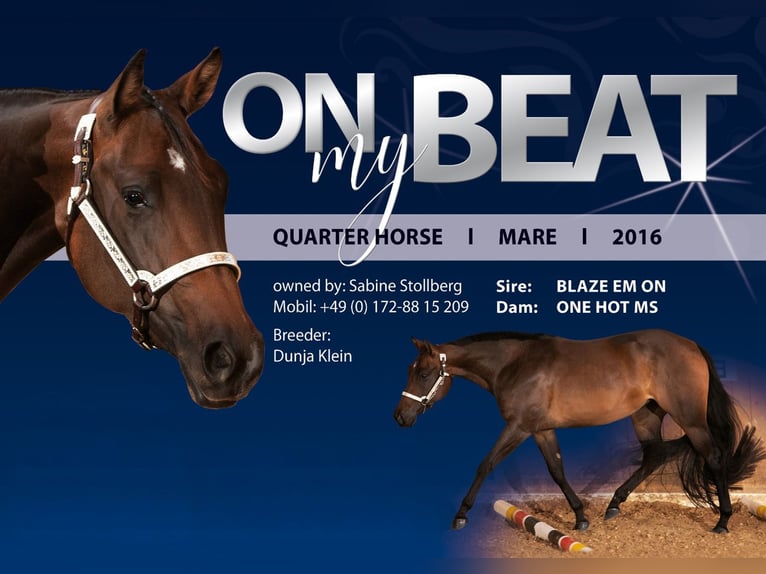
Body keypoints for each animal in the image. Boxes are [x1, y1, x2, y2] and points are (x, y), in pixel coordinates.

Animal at [394, 330, 766, 533]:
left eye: (424, 374)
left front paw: (460, 515)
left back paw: (723, 521)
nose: (400, 417)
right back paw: (613, 505)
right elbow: (557, 471)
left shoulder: (518, 427)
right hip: (645, 416)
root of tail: (691, 345)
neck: (516, 364)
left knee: (712, 456)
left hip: (689, 418)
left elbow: (485, 464)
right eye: (411, 370)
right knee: (655, 455)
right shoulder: (541, 430)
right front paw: (581, 517)